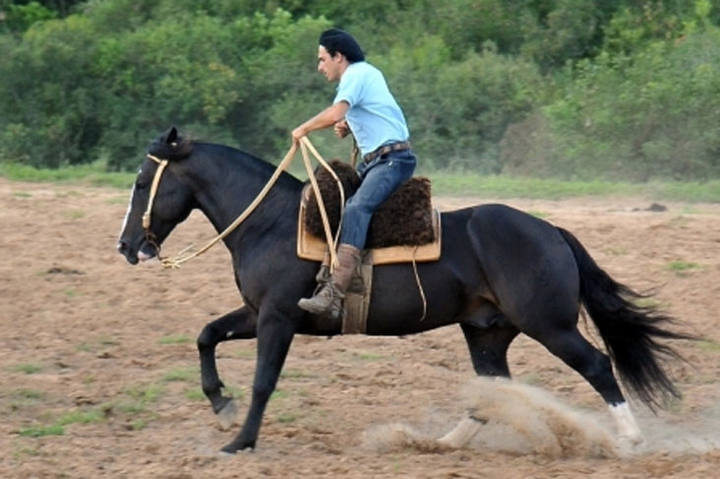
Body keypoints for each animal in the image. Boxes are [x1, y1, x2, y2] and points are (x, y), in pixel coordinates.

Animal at [119, 127, 692, 454]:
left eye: (144, 179)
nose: (127, 246)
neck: (272, 223)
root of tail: (550, 229)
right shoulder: (255, 312)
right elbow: (205, 335)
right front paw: (221, 406)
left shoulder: (277, 317)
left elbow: (263, 380)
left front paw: (240, 440)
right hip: (486, 332)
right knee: (492, 390)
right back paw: (435, 445)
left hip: (550, 326)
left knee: (596, 365)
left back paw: (629, 439)